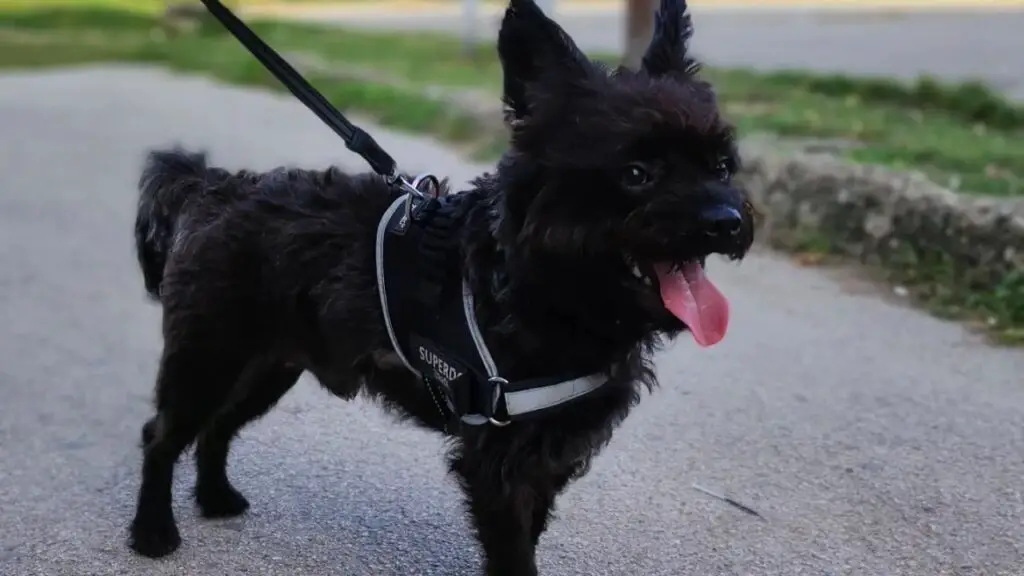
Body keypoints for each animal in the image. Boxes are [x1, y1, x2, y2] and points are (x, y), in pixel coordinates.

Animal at [125, 2, 753, 569]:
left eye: (722, 166)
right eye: (637, 174)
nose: (728, 221)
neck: (532, 286)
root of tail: (212, 185)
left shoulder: (545, 453)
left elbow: (532, 531)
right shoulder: (499, 460)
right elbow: (514, 552)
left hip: (268, 367)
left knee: (216, 428)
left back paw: (215, 498)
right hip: (208, 357)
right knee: (163, 433)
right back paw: (153, 532)